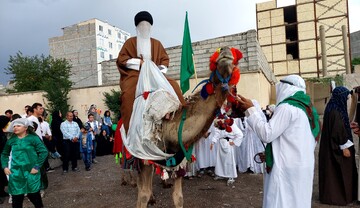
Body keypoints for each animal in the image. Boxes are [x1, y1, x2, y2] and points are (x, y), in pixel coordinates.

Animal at [135, 46, 236, 207]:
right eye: (214, 60)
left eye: (236, 61)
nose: (225, 52)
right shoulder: (145, 157)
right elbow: (142, 195)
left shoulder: (179, 162)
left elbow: (178, 197)